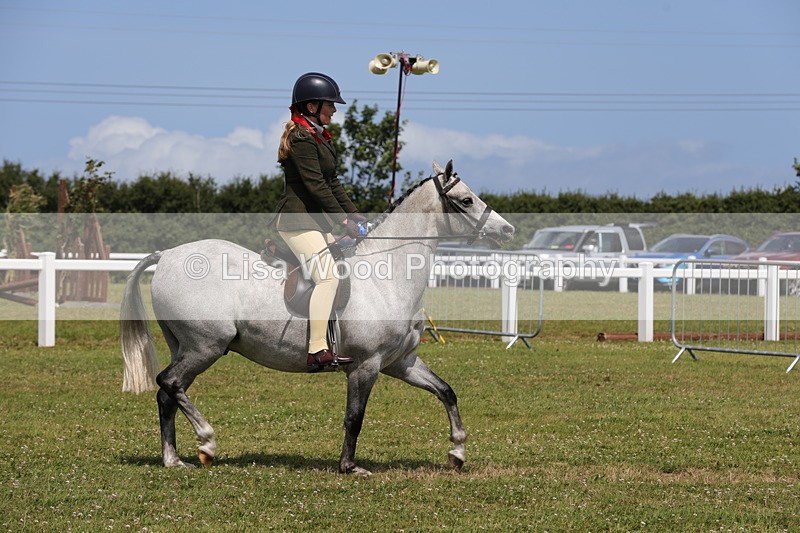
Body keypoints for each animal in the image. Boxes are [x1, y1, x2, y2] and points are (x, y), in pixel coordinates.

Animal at [120, 160, 515, 475]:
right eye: (466, 200)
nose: (507, 230)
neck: (387, 274)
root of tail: (168, 255)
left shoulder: (400, 363)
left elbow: (446, 392)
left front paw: (458, 451)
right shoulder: (365, 366)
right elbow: (355, 417)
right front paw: (349, 467)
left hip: (187, 347)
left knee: (168, 394)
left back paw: (173, 459)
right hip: (206, 346)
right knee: (169, 382)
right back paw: (206, 442)